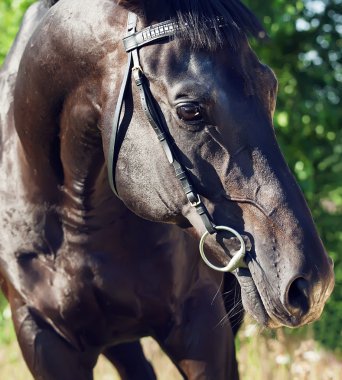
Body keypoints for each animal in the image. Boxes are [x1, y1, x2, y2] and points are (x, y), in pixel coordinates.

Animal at [0, 0, 334, 380]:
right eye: (189, 110)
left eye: (271, 87)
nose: (314, 285)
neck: (76, 219)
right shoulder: (43, 339)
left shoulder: (200, 322)